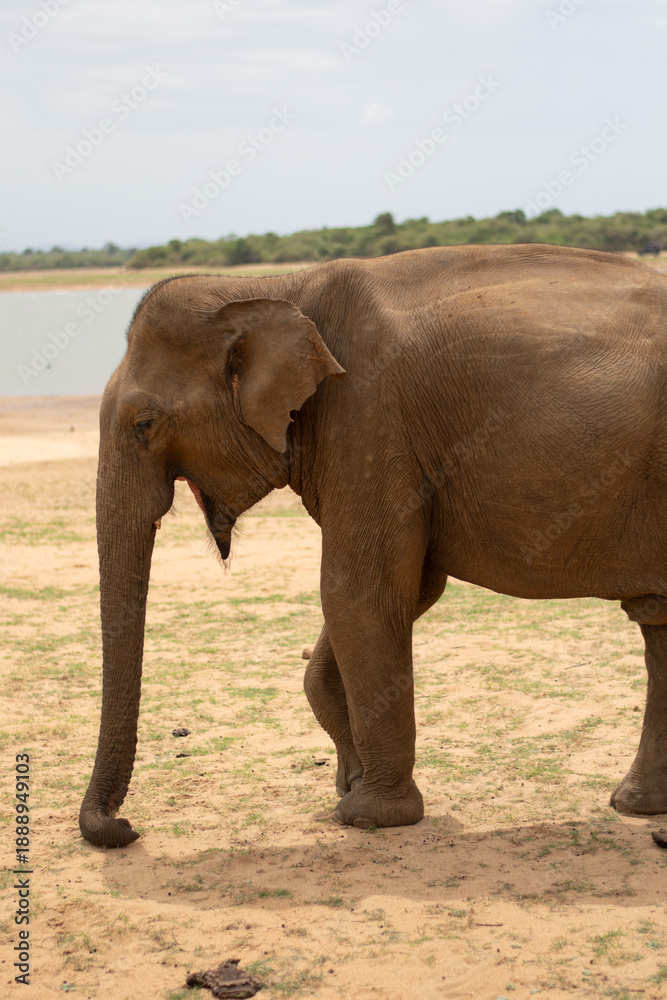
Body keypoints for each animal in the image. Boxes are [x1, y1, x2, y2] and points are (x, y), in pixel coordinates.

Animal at [80, 243, 667, 849]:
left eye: (144, 424)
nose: (126, 827)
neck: (274, 287)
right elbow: (409, 590)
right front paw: (351, 783)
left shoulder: (367, 421)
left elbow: (359, 594)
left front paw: (367, 814)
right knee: (657, 622)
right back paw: (638, 807)